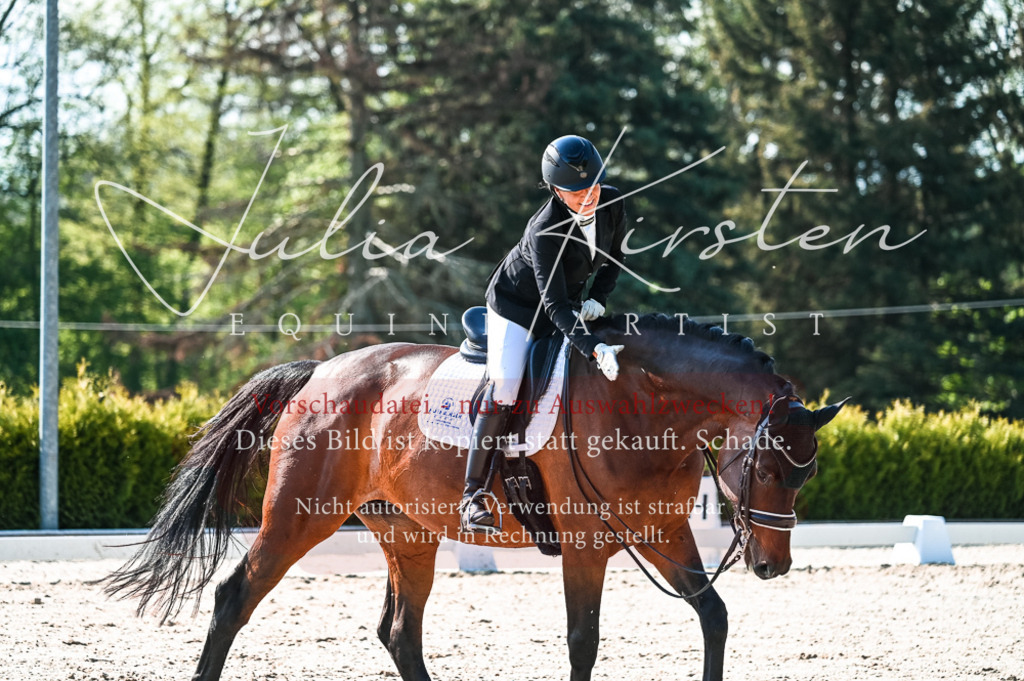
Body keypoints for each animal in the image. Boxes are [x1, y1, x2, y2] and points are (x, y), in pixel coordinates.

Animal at [104, 313, 847, 681]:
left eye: (806, 475)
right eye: (771, 468)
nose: (772, 565)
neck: (642, 404)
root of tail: (319, 371)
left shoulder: (664, 534)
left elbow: (713, 616)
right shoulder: (586, 547)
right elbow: (583, 642)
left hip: (407, 533)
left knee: (400, 632)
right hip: (297, 518)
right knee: (236, 597)